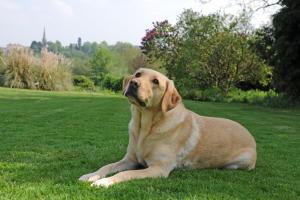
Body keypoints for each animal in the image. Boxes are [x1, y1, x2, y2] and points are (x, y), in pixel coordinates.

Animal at [79, 68, 255, 187]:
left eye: (155, 82)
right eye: (138, 74)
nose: (133, 83)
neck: (145, 126)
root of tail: (250, 135)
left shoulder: (159, 168)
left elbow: (125, 173)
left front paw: (104, 182)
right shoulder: (129, 159)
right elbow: (107, 166)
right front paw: (91, 175)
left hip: (242, 161)